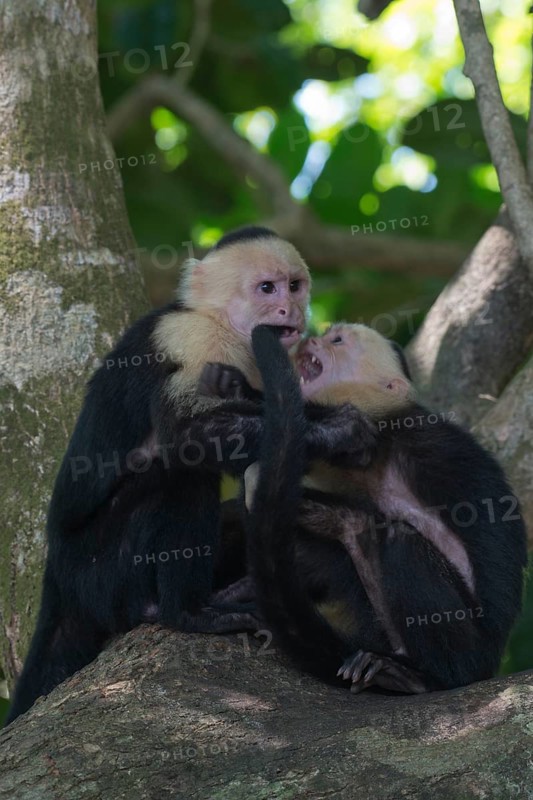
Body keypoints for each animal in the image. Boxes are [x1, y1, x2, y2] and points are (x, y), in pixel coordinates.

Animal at [7, 227, 376, 723]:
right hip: (95, 569)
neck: (223, 323)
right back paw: (189, 613)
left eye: (295, 286)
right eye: (267, 288)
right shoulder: (194, 339)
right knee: (179, 477)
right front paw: (335, 431)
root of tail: (57, 574)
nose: (291, 310)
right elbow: (187, 436)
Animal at [201, 323, 527, 694]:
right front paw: (235, 386)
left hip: (471, 650)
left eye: (337, 340)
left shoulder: (411, 435)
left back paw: (422, 678)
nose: (310, 338)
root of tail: (490, 663)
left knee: (401, 540)